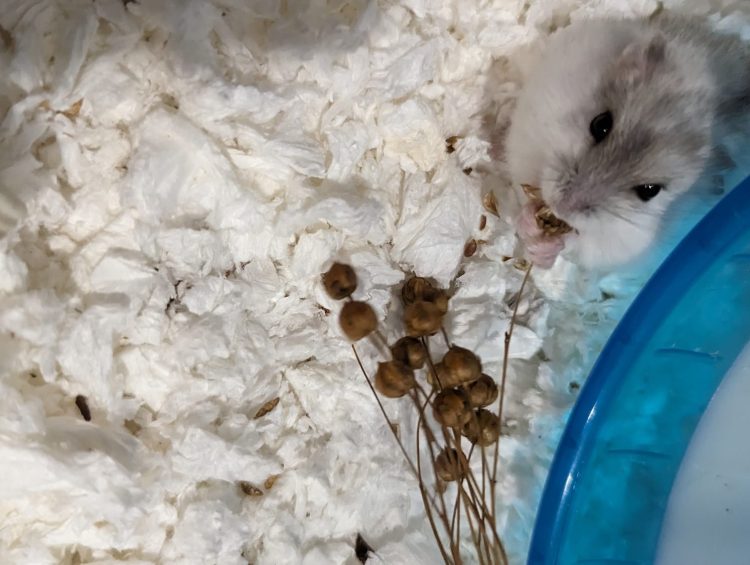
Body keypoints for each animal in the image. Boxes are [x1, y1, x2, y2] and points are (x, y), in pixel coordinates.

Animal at [503, 13, 750, 269]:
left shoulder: (626, 239)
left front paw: (545, 249)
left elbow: (582, 243)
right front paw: (530, 225)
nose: (562, 207)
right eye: (600, 124)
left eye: (649, 190)